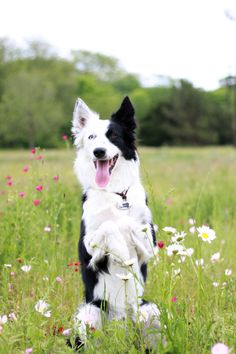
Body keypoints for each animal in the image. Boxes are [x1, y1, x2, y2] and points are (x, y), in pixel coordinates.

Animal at [71, 96, 161, 348]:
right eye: (91, 137)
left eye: (113, 136)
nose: (99, 152)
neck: (116, 193)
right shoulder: (87, 245)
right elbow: (109, 225)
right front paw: (120, 251)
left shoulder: (149, 243)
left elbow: (131, 225)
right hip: (89, 311)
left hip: (149, 310)